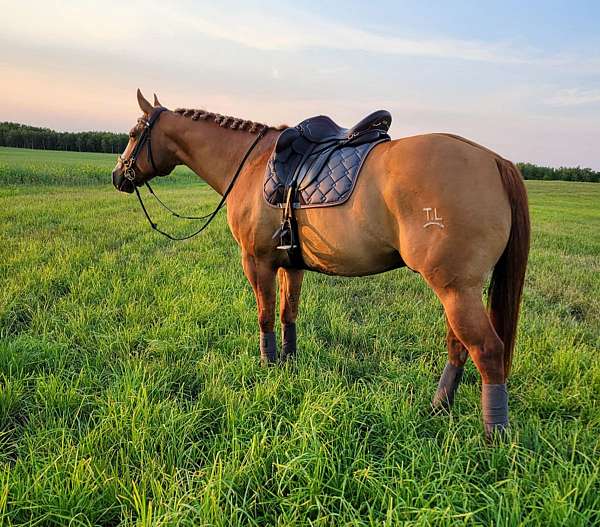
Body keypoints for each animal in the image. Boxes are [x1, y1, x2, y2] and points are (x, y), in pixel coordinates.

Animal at [111, 89, 528, 438]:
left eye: (133, 133)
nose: (118, 175)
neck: (251, 164)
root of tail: (494, 160)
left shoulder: (256, 262)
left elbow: (265, 316)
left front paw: (268, 365)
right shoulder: (291, 265)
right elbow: (287, 314)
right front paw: (288, 364)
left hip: (456, 290)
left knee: (487, 351)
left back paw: (494, 436)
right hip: (458, 291)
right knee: (459, 346)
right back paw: (439, 408)